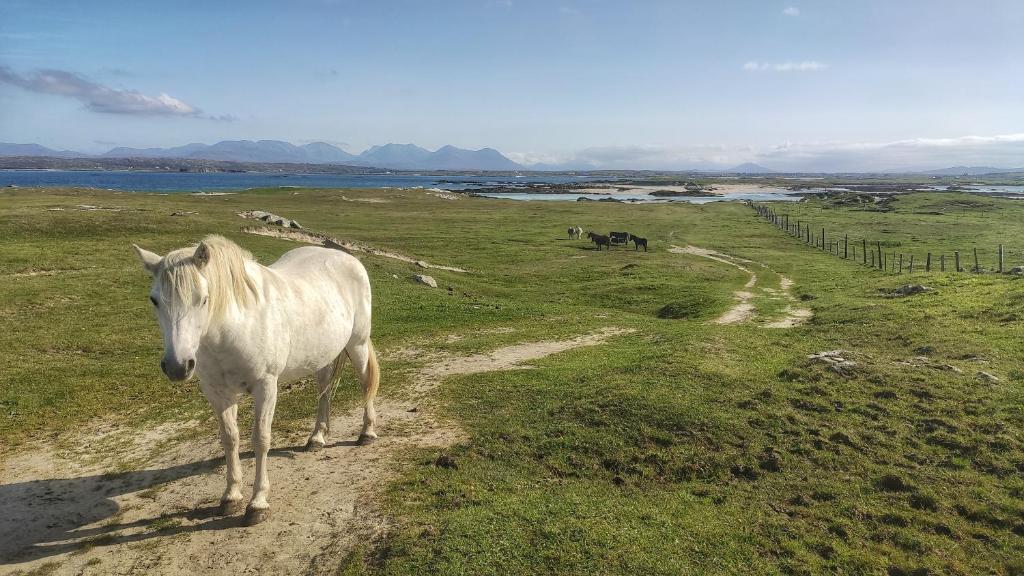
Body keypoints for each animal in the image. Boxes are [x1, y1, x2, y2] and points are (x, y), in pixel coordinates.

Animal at [133, 235, 380, 526]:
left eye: (203, 299)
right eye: (154, 300)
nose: (177, 366)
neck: (235, 327)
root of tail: (348, 259)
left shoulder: (266, 387)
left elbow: (261, 439)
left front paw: (258, 503)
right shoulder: (217, 393)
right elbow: (230, 439)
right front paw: (231, 496)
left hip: (357, 345)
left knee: (365, 384)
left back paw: (367, 432)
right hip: (321, 355)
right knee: (324, 390)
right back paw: (317, 437)